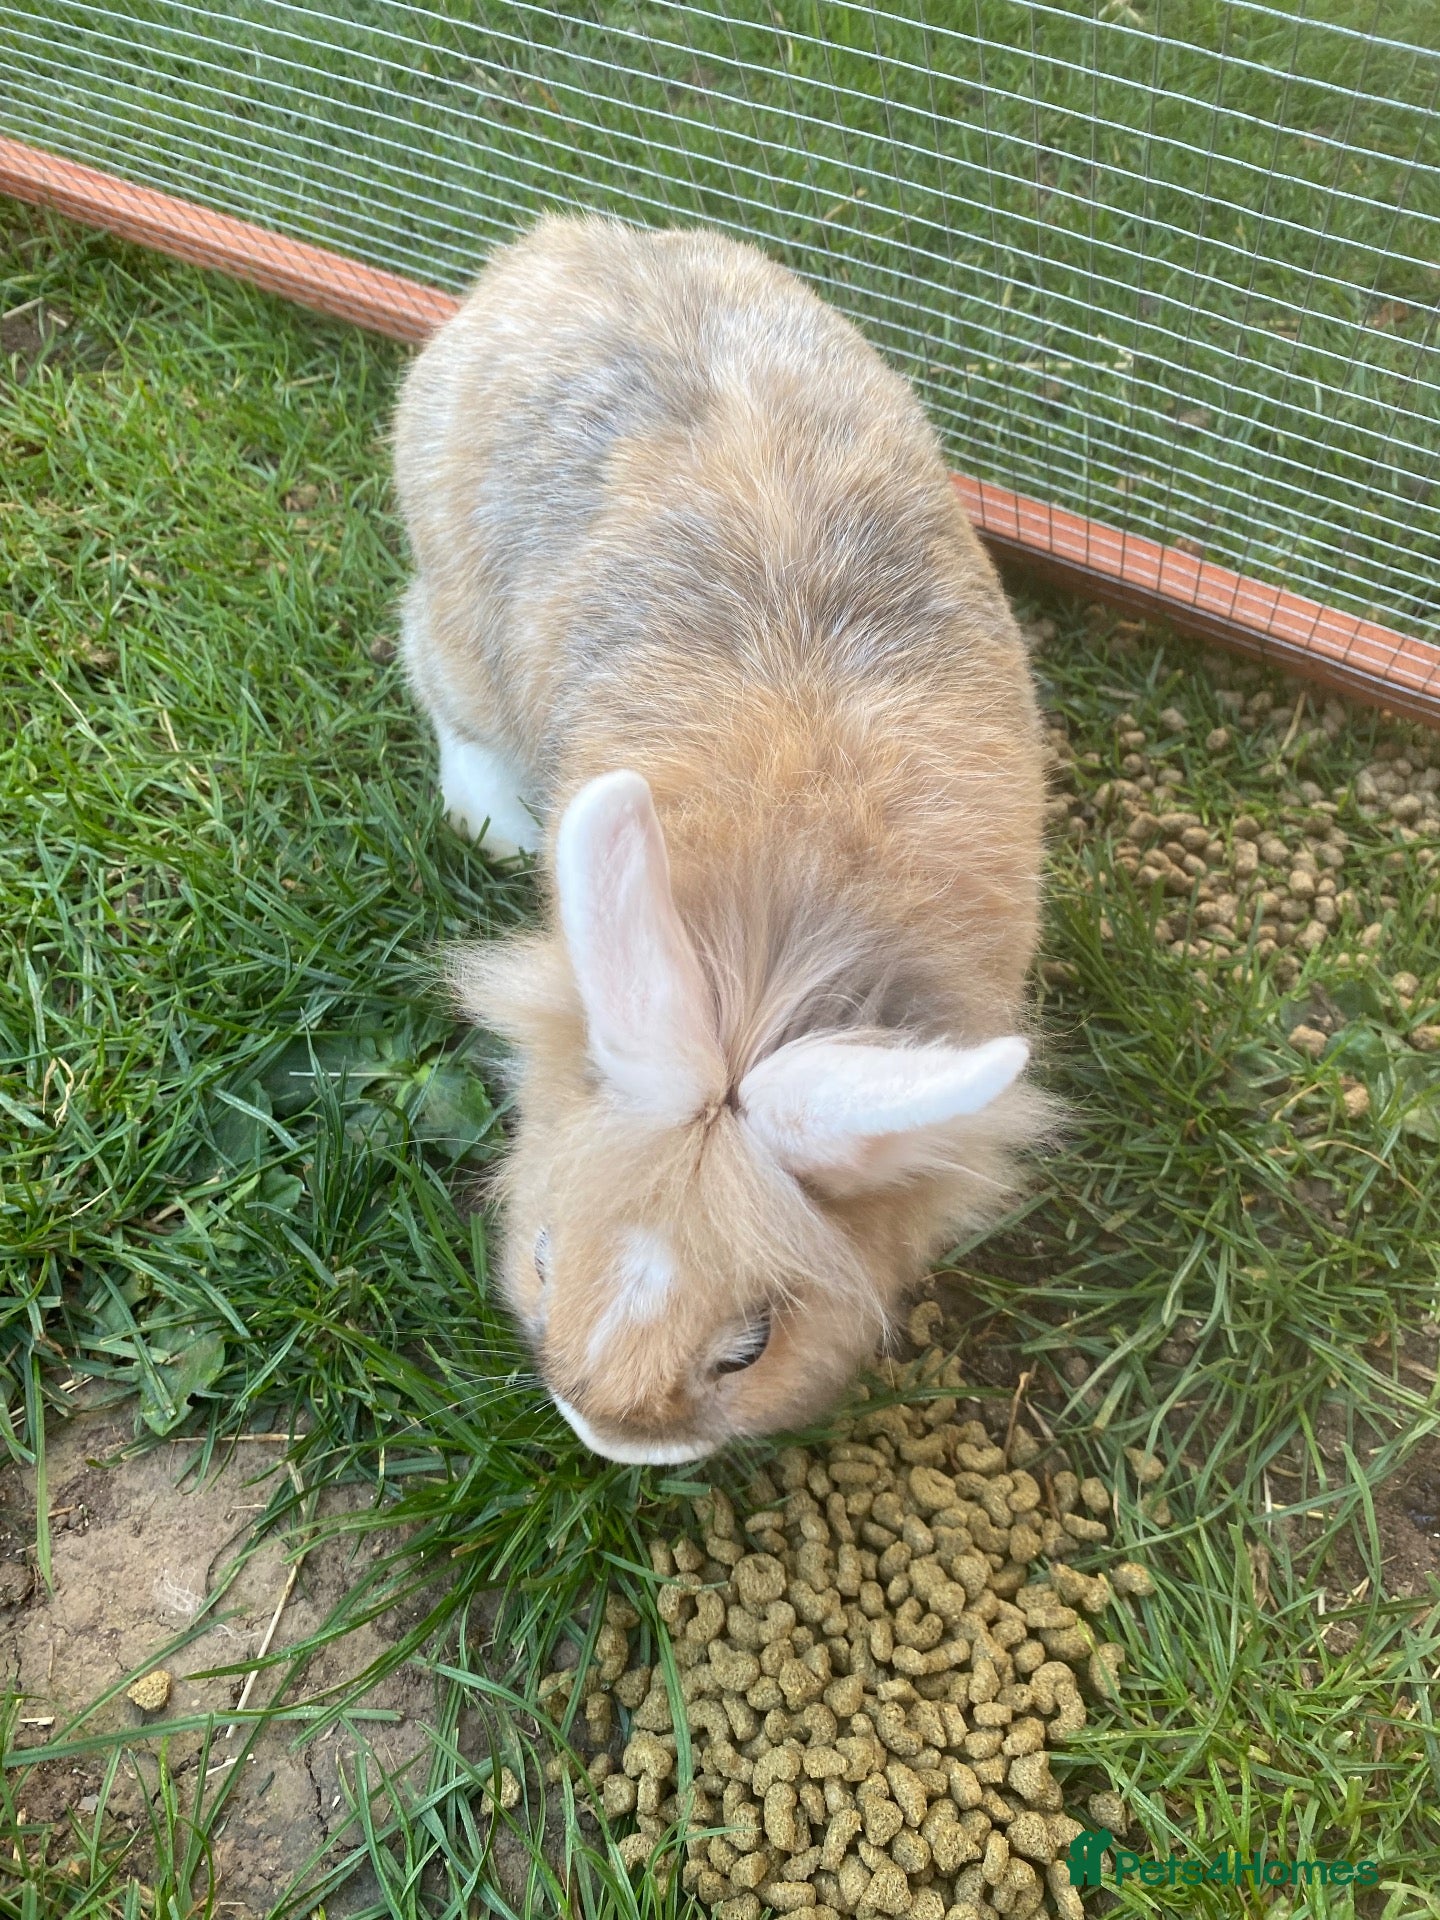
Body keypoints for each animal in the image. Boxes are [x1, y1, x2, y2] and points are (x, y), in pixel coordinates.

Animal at [392, 214, 1048, 1466]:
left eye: (751, 1345)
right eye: (541, 1258)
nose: (608, 1439)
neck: (770, 941)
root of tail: (555, 247)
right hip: (454, 607)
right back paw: (496, 822)